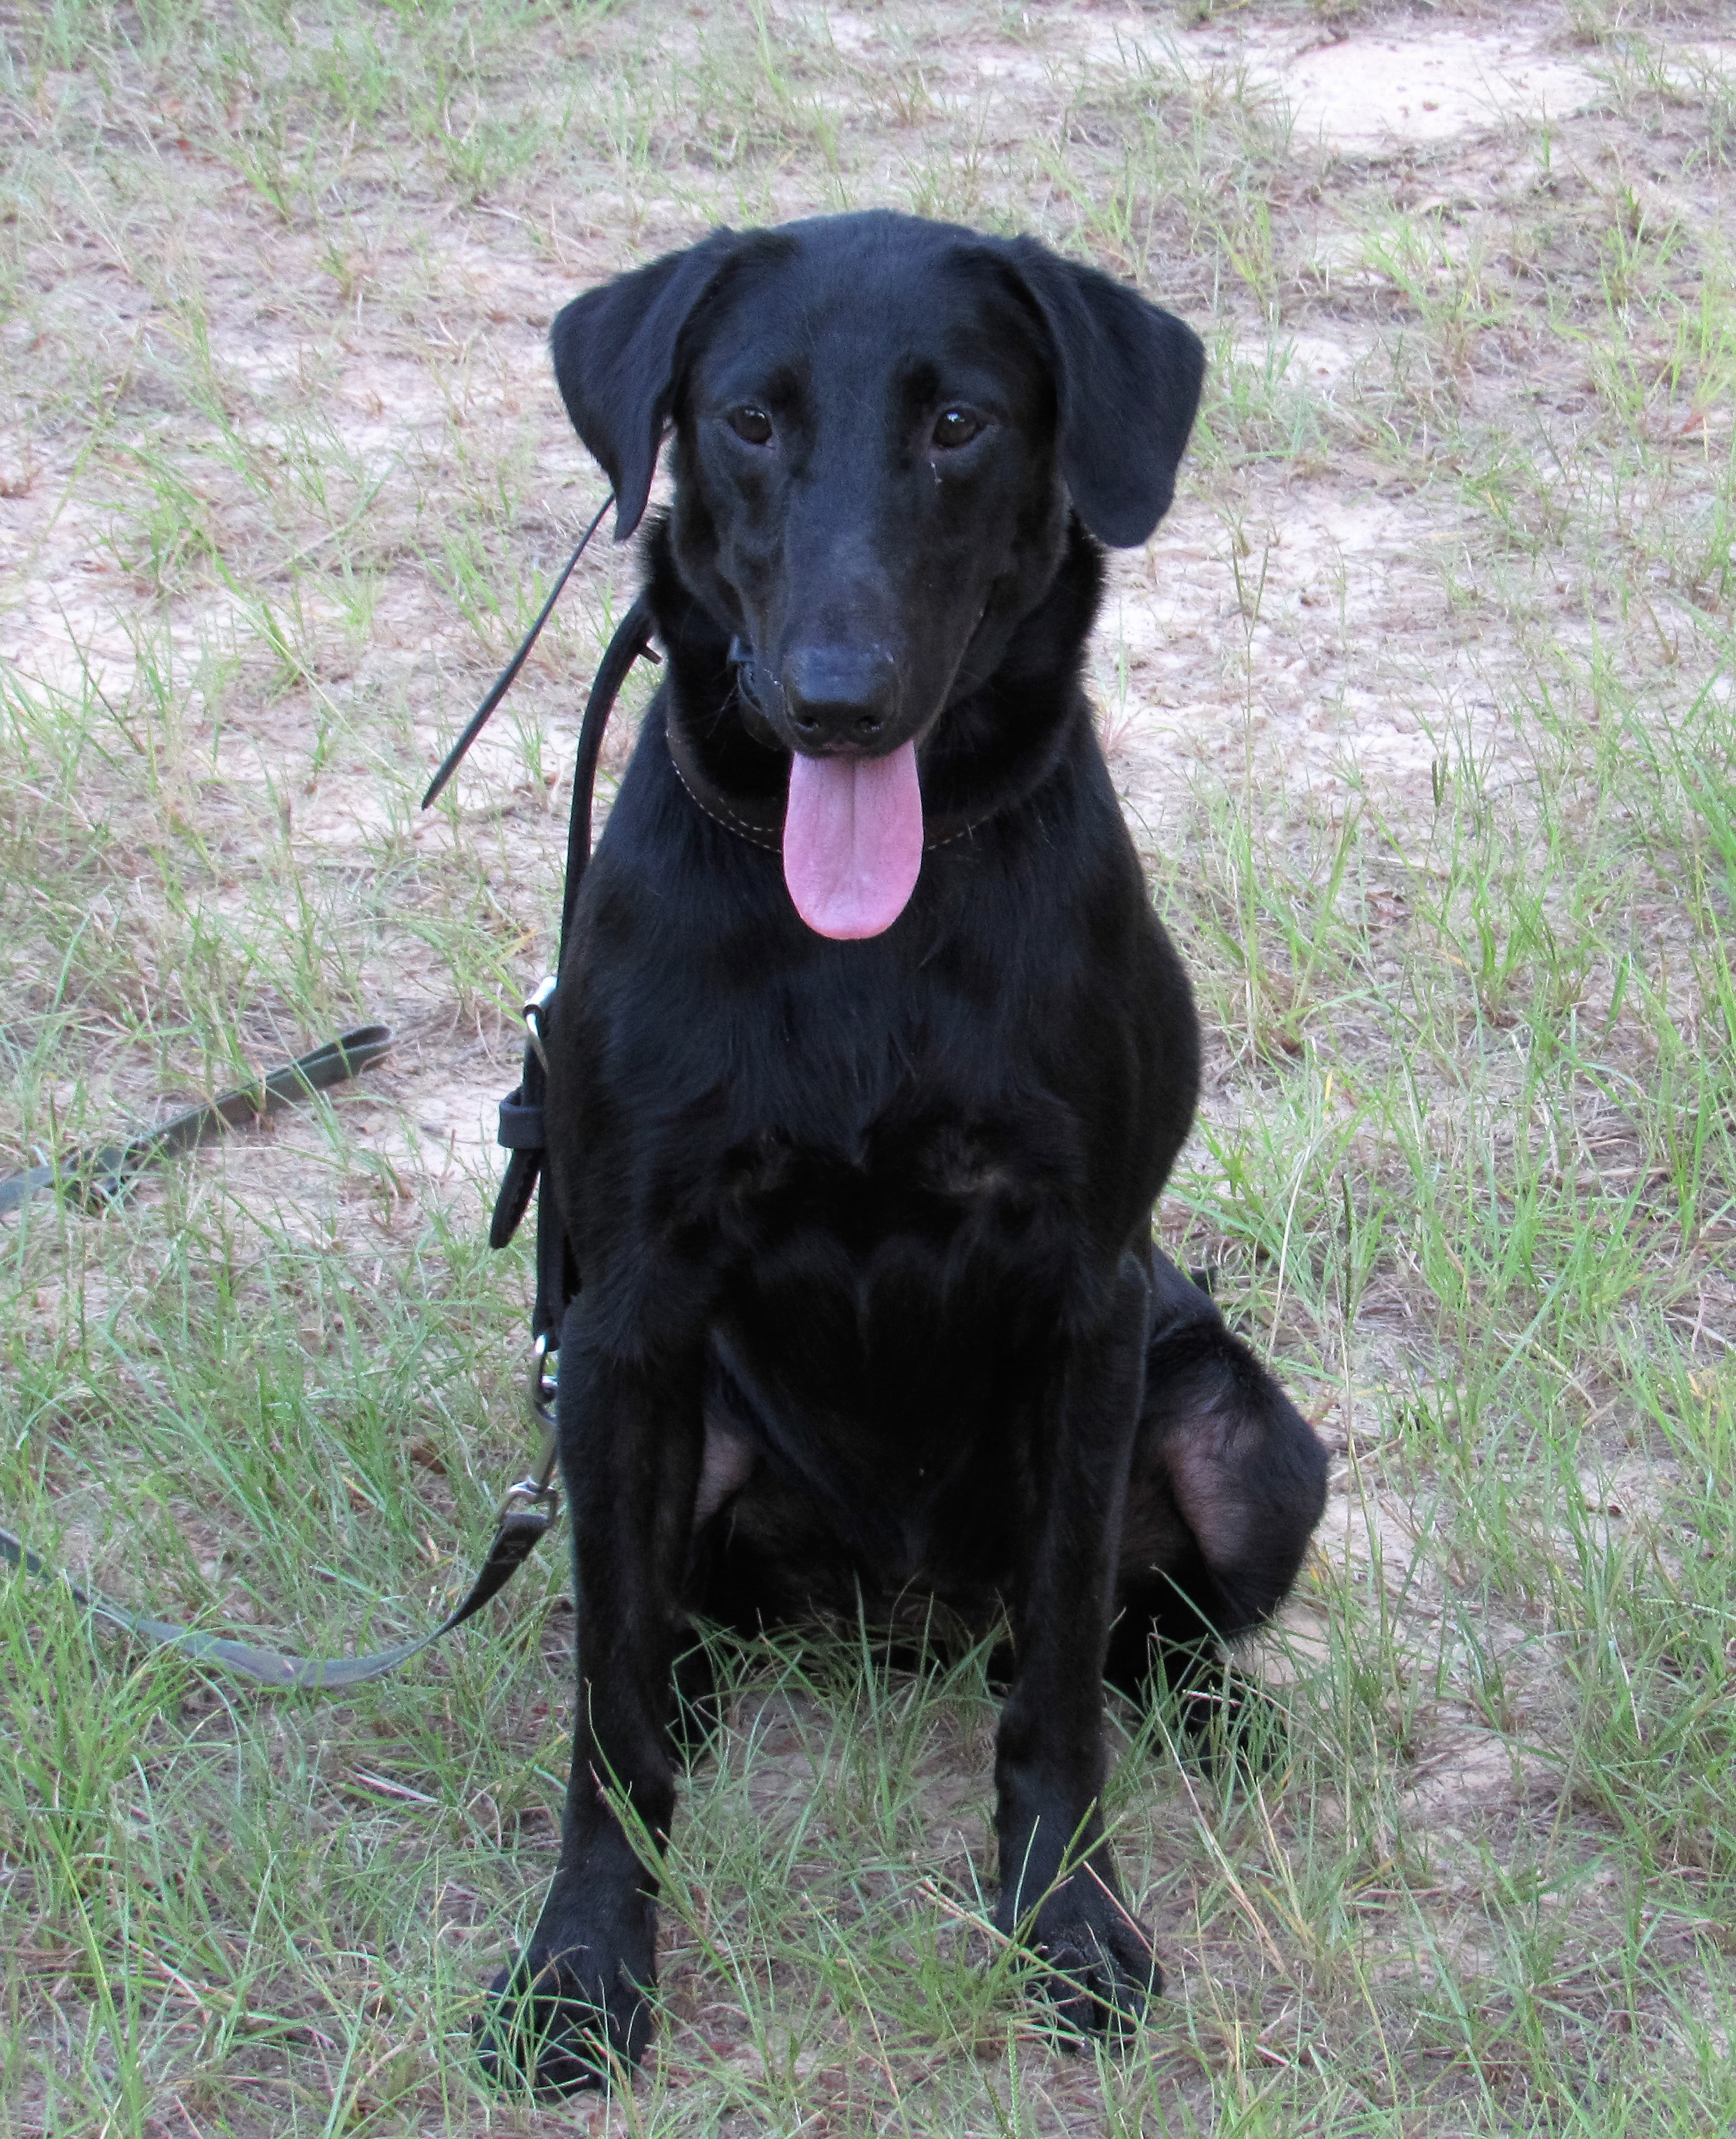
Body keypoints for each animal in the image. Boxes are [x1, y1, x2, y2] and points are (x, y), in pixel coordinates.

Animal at [479, 212, 1326, 2087]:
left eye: (957, 426)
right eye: (746, 422)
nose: (837, 703)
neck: (861, 940)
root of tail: (905, 1620)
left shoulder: (1086, 1299)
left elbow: (1058, 1696)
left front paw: (1066, 1917)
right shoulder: (623, 1321)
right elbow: (605, 1711)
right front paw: (582, 1962)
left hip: (1246, 1438)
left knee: (1129, 1631)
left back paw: (1220, 1713)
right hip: (659, 1426)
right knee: (664, 1623)